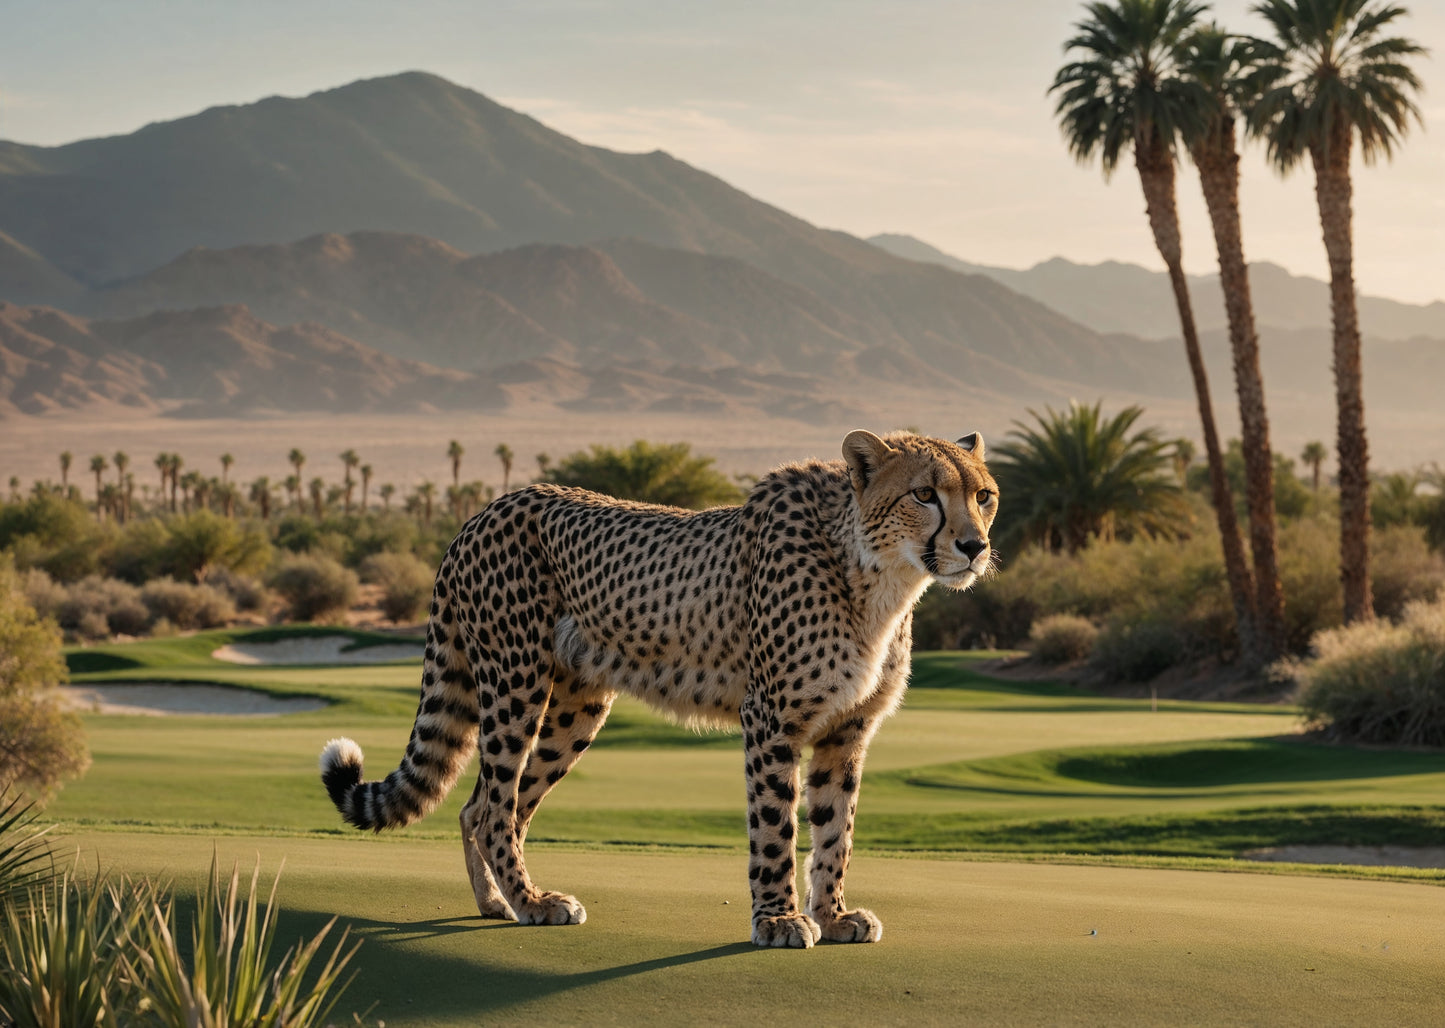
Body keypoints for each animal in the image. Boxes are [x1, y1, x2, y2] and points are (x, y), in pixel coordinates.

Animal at [320, 428, 998, 948]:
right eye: (924, 493)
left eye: (984, 496)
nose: (974, 545)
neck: (875, 574)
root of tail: (486, 509)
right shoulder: (771, 719)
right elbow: (776, 826)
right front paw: (779, 919)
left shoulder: (845, 731)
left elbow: (836, 830)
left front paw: (831, 915)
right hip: (515, 682)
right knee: (493, 808)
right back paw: (533, 902)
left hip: (577, 708)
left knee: (484, 804)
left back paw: (498, 902)